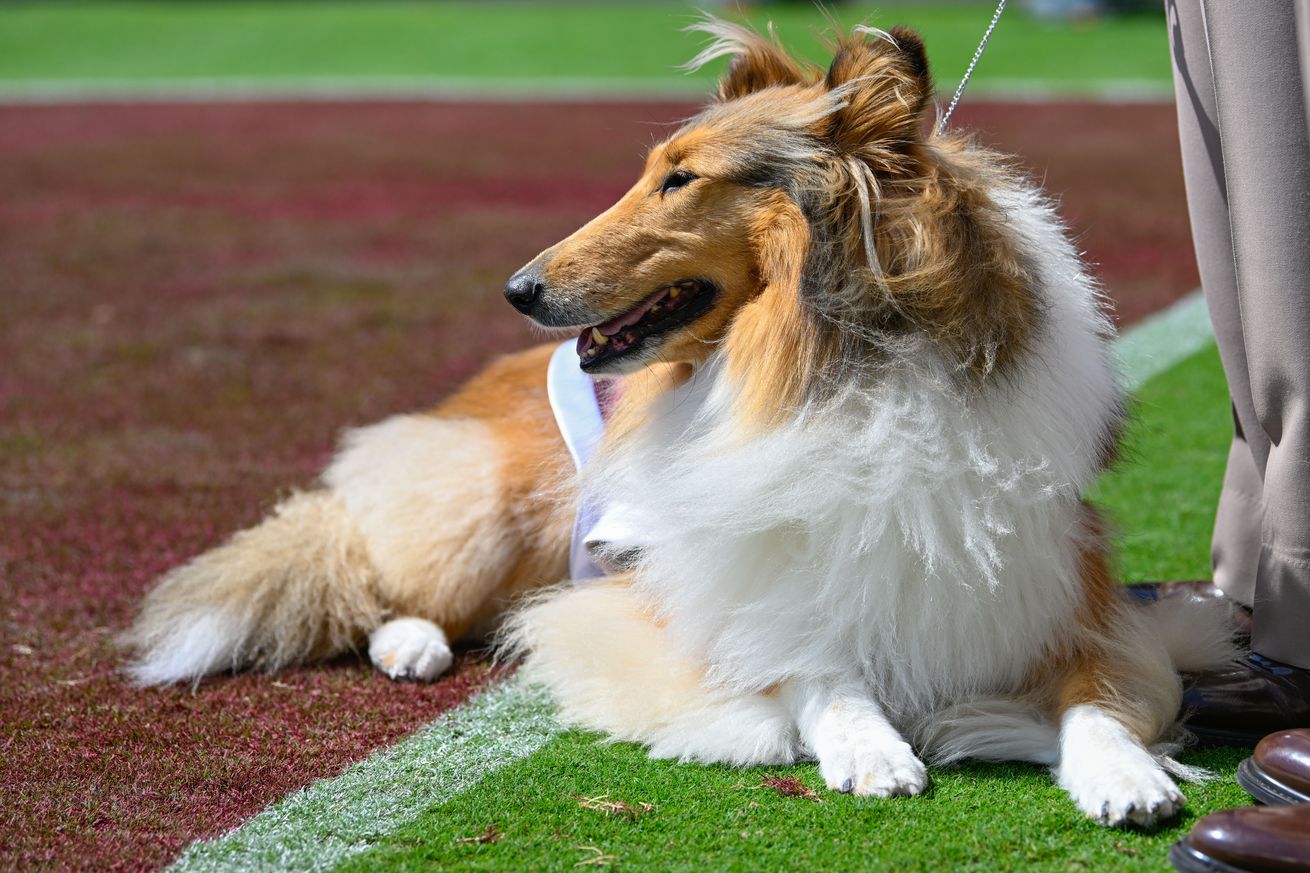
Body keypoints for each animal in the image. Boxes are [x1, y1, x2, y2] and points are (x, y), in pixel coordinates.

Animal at [127, 22, 1231, 823]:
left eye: (680, 178)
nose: (516, 289)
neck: (841, 368)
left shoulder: (1067, 602)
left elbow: (1103, 699)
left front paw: (1126, 776)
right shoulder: (701, 600)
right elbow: (809, 663)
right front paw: (869, 744)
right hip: (483, 508)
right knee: (371, 575)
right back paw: (410, 644)